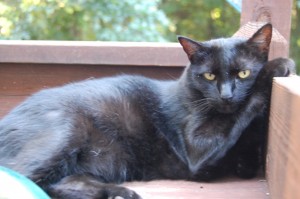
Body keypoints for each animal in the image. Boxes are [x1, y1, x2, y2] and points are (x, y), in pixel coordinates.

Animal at [0, 24, 292, 198]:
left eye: (242, 73)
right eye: (209, 76)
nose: (226, 95)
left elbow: (246, 152)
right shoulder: (196, 149)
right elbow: (242, 112)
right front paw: (278, 66)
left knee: (62, 181)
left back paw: (119, 193)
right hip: (66, 129)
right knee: (22, 176)